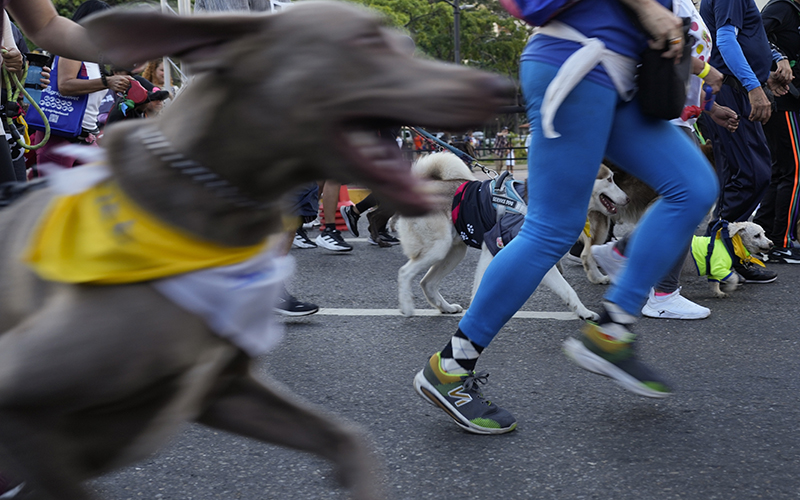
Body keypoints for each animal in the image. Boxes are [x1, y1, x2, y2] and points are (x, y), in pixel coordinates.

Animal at [0, 1, 512, 498]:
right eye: (367, 41)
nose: (502, 89)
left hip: (451, 249)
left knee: (425, 279)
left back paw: (440, 304)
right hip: (441, 247)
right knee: (409, 274)